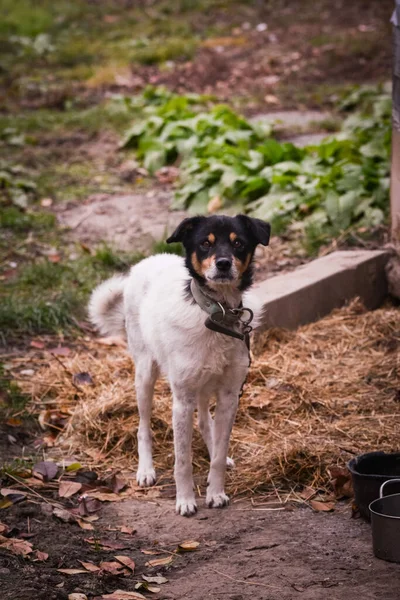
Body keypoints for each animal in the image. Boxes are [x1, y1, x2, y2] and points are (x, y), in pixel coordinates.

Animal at [89, 214, 270, 516]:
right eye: (205, 244)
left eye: (238, 244)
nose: (223, 263)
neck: (216, 314)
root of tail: (147, 261)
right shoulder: (182, 400)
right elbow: (182, 461)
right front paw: (185, 500)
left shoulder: (230, 396)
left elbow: (218, 453)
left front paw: (216, 492)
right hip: (145, 374)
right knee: (143, 427)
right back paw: (146, 470)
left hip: (204, 385)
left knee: (205, 422)